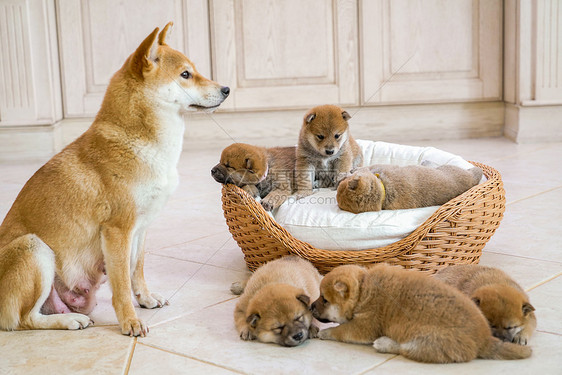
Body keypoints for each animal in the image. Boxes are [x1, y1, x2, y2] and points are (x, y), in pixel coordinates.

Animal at [0, 22, 228, 338]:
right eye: (185, 74)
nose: (227, 89)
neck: (140, 141)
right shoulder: (117, 231)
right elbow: (121, 285)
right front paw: (130, 321)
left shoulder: (140, 228)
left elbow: (136, 270)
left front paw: (145, 299)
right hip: (33, 248)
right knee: (24, 320)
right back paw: (69, 321)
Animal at [310, 264, 528, 364]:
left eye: (324, 299)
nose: (311, 306)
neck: (364, 289)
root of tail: (484, 339)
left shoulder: (364, 326)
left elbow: (342, 330)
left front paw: (325, 332)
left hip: (427, 340)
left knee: (403, 349)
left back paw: (383, 343)